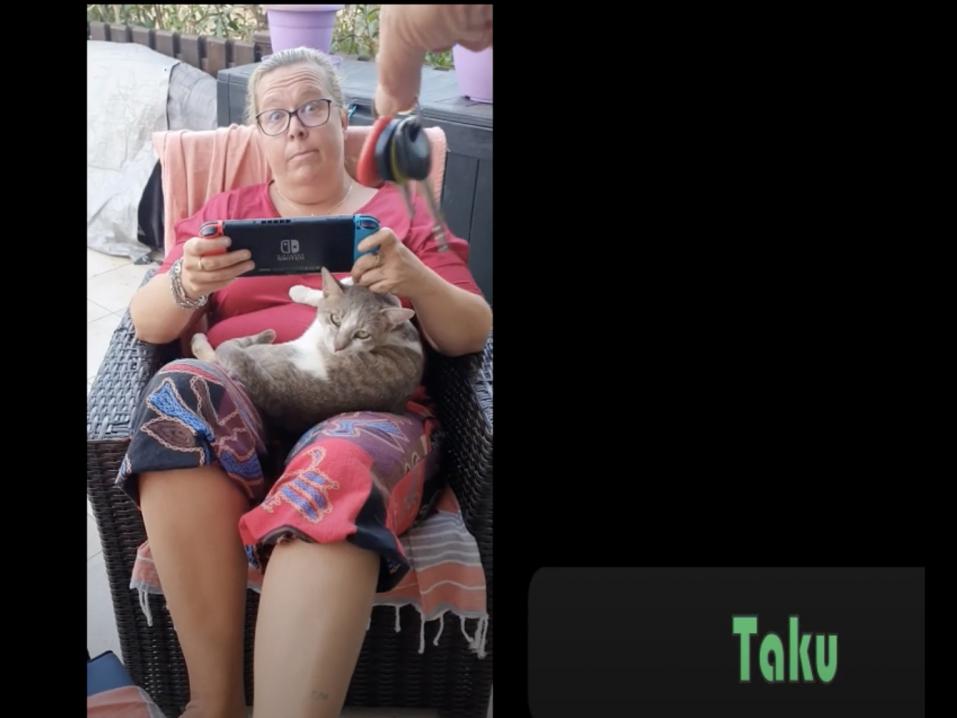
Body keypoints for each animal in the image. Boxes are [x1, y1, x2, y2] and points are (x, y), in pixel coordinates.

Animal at [190, 267, 425, 434]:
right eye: (336, 319)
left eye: (362, 334)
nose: (337, 347)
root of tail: (279, 396)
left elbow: (320, 297)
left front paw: (300, 291)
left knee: (216, 357)